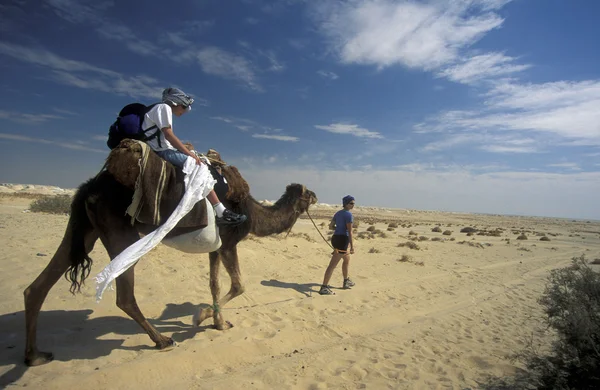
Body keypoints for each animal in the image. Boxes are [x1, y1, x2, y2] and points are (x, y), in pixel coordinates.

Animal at [23, 145, 318, 366]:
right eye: (307, 193)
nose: (316, 196)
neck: (252, 212)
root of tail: (89, 186)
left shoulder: (216, 247)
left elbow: (215, 284)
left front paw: (218, 323)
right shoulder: (228, 243)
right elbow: (239, 285)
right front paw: (202, 316)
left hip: (85, 229)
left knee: (38, 286)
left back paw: (35, 355)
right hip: (121, 234)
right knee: (124, 296)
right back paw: (162, 340)